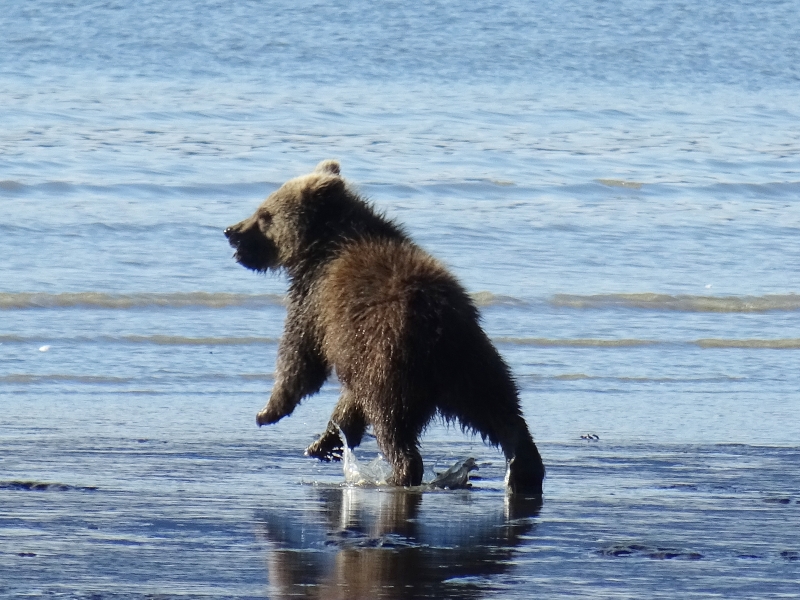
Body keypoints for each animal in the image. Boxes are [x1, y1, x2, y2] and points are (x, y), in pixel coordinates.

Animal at [224, 160, 545, 494]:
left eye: (265, 214)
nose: (231, 231)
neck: (321, 246)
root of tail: (439, 331)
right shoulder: (350, 341)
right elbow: (347, 400)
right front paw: (327, 441)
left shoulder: (318, 302)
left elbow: (300, 358)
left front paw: (268, 412)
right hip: (474, 362)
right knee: (502, 411)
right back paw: (524, 468)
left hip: (392, 362)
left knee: (391, 422)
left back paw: (399, 474)